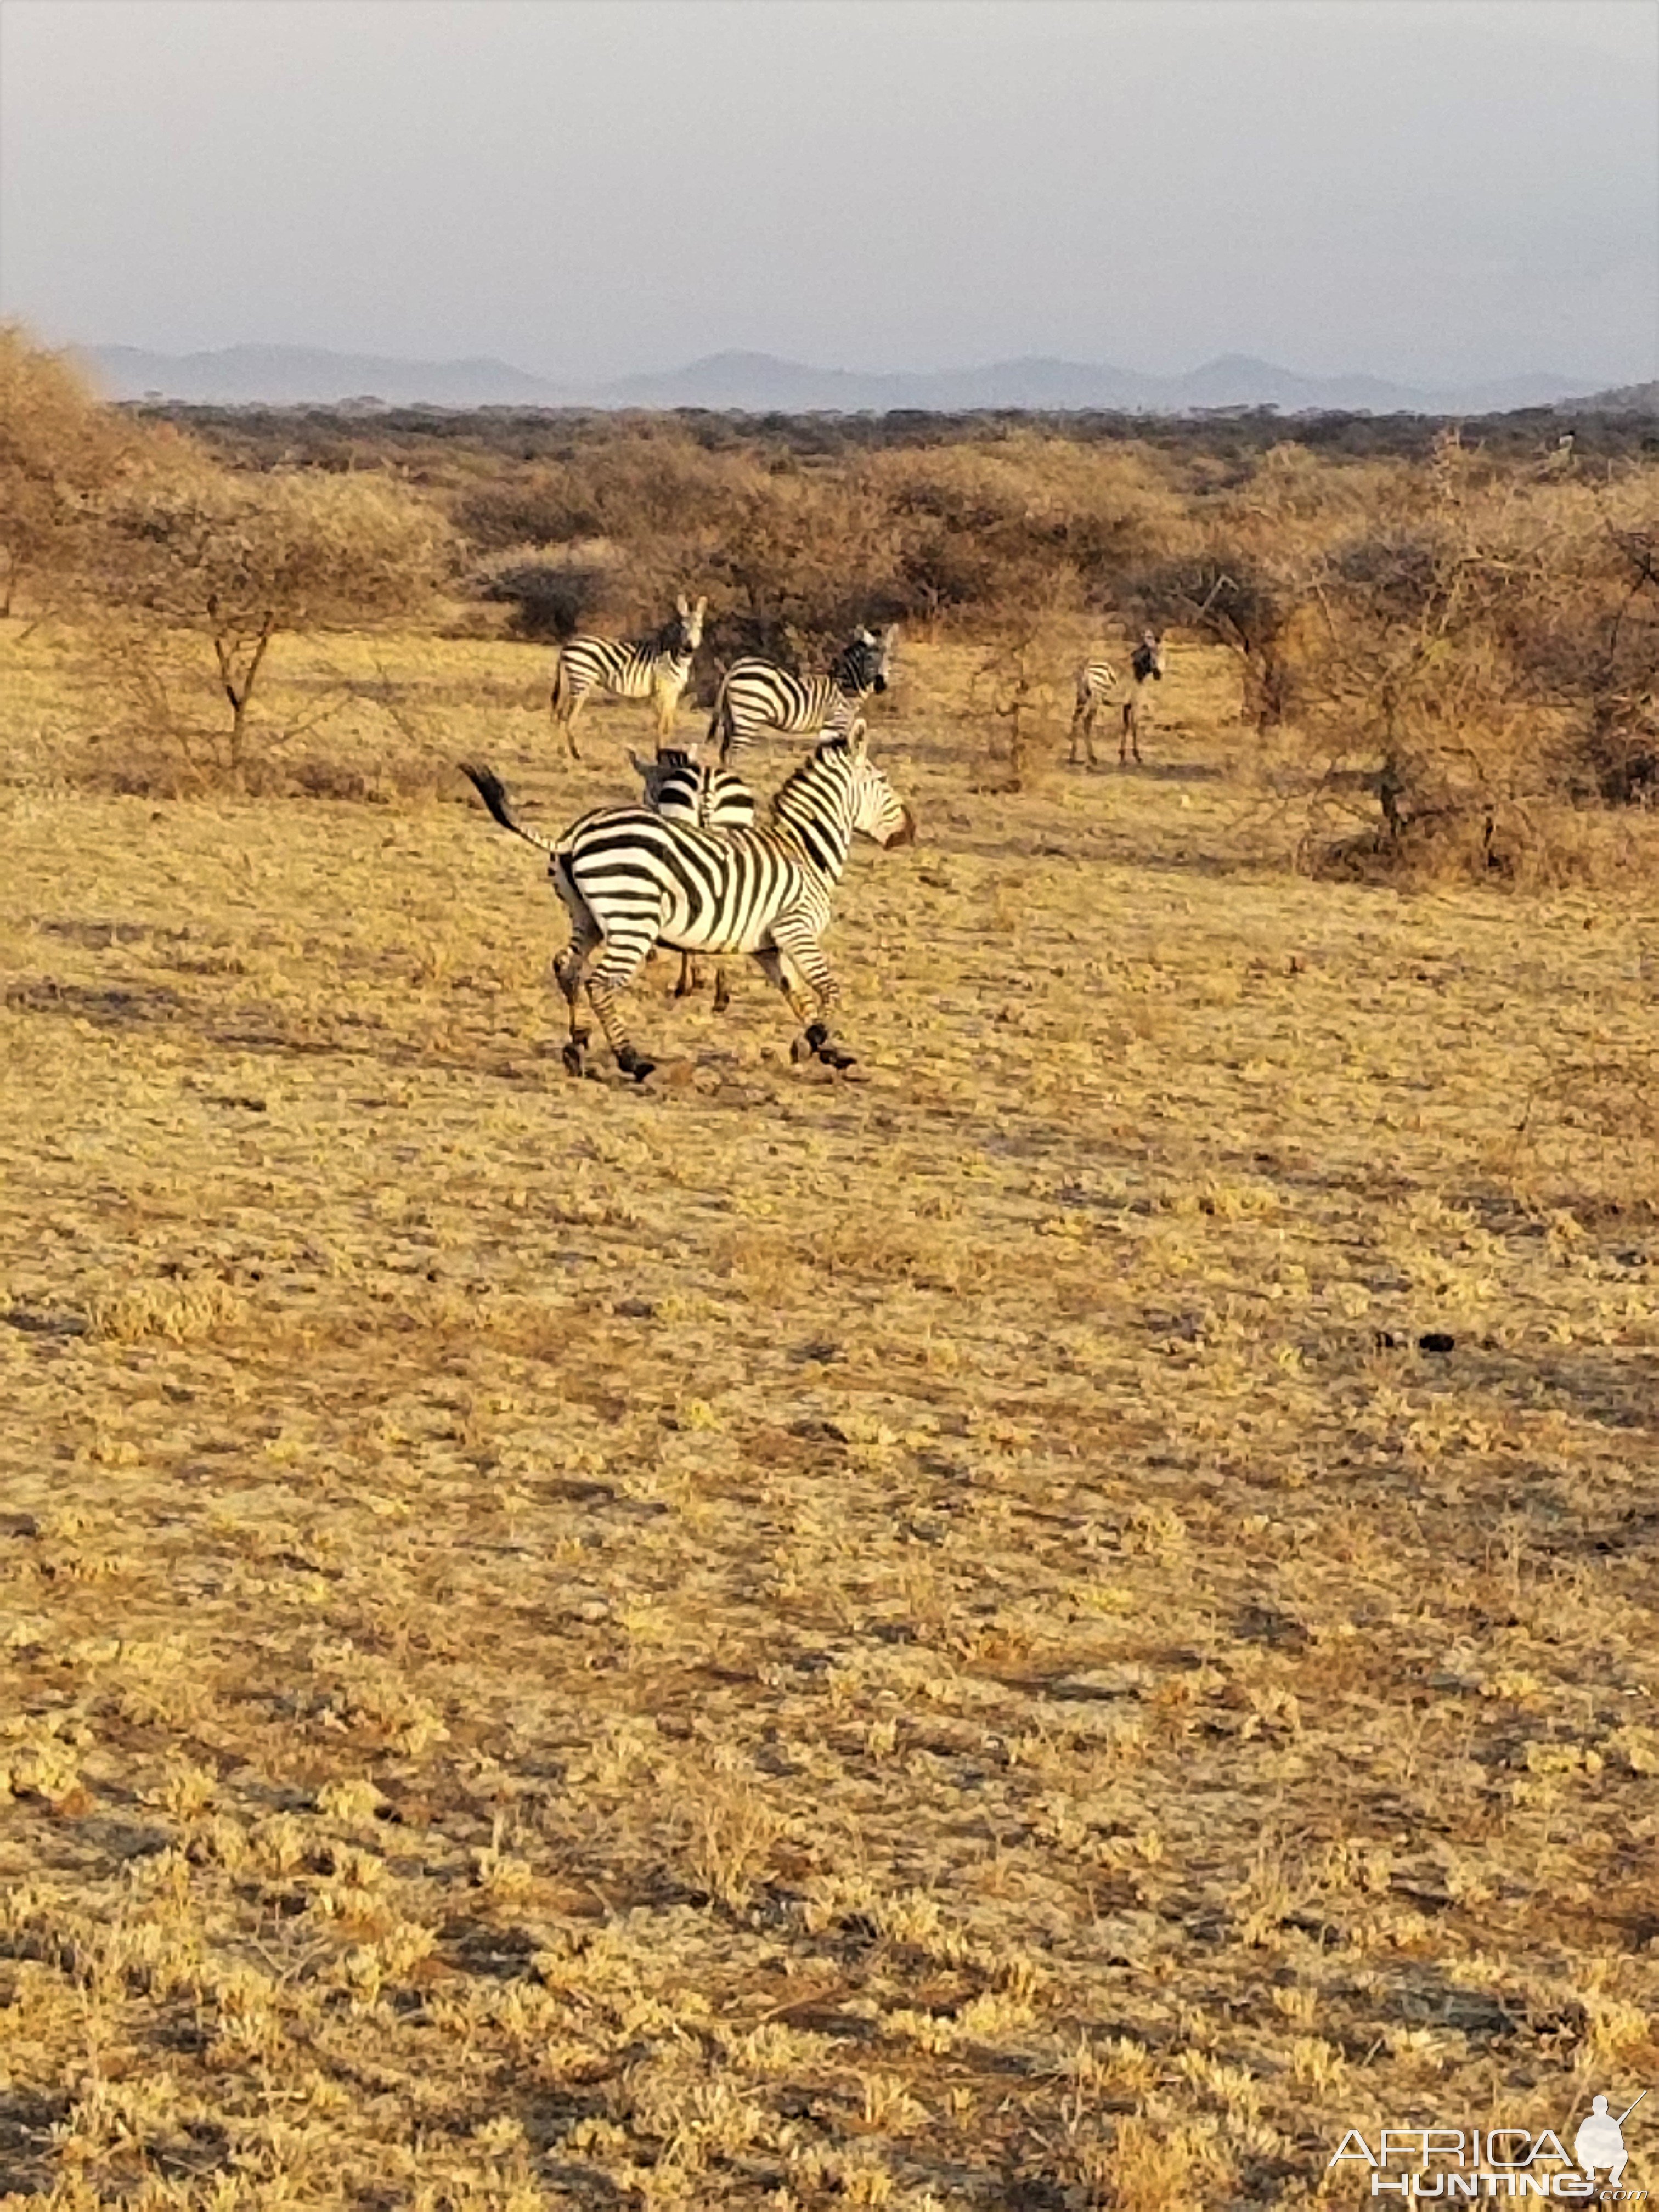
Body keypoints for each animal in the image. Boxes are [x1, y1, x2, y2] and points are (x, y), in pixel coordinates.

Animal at [546, 597, 703, 761]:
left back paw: (562, 751)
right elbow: (661, 724)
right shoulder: (663, 690)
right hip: (581, 681)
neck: (677, 658)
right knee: (568, 719)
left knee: (559, 715)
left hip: (569, 682)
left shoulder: (673, 693)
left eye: (700, 627)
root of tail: (568, 645)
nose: (689, 648)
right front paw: (660, 753)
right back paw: (576, 753)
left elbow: (669, 725)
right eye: (683, 627)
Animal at [712, 624, 902, 761]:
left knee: (724, 754)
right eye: (870, 658)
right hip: (748, 717)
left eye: (890, 658)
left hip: (732, 718)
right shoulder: (834, 725)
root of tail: (737, 665)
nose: (881, 685)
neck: (846, 686)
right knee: (734, 755)